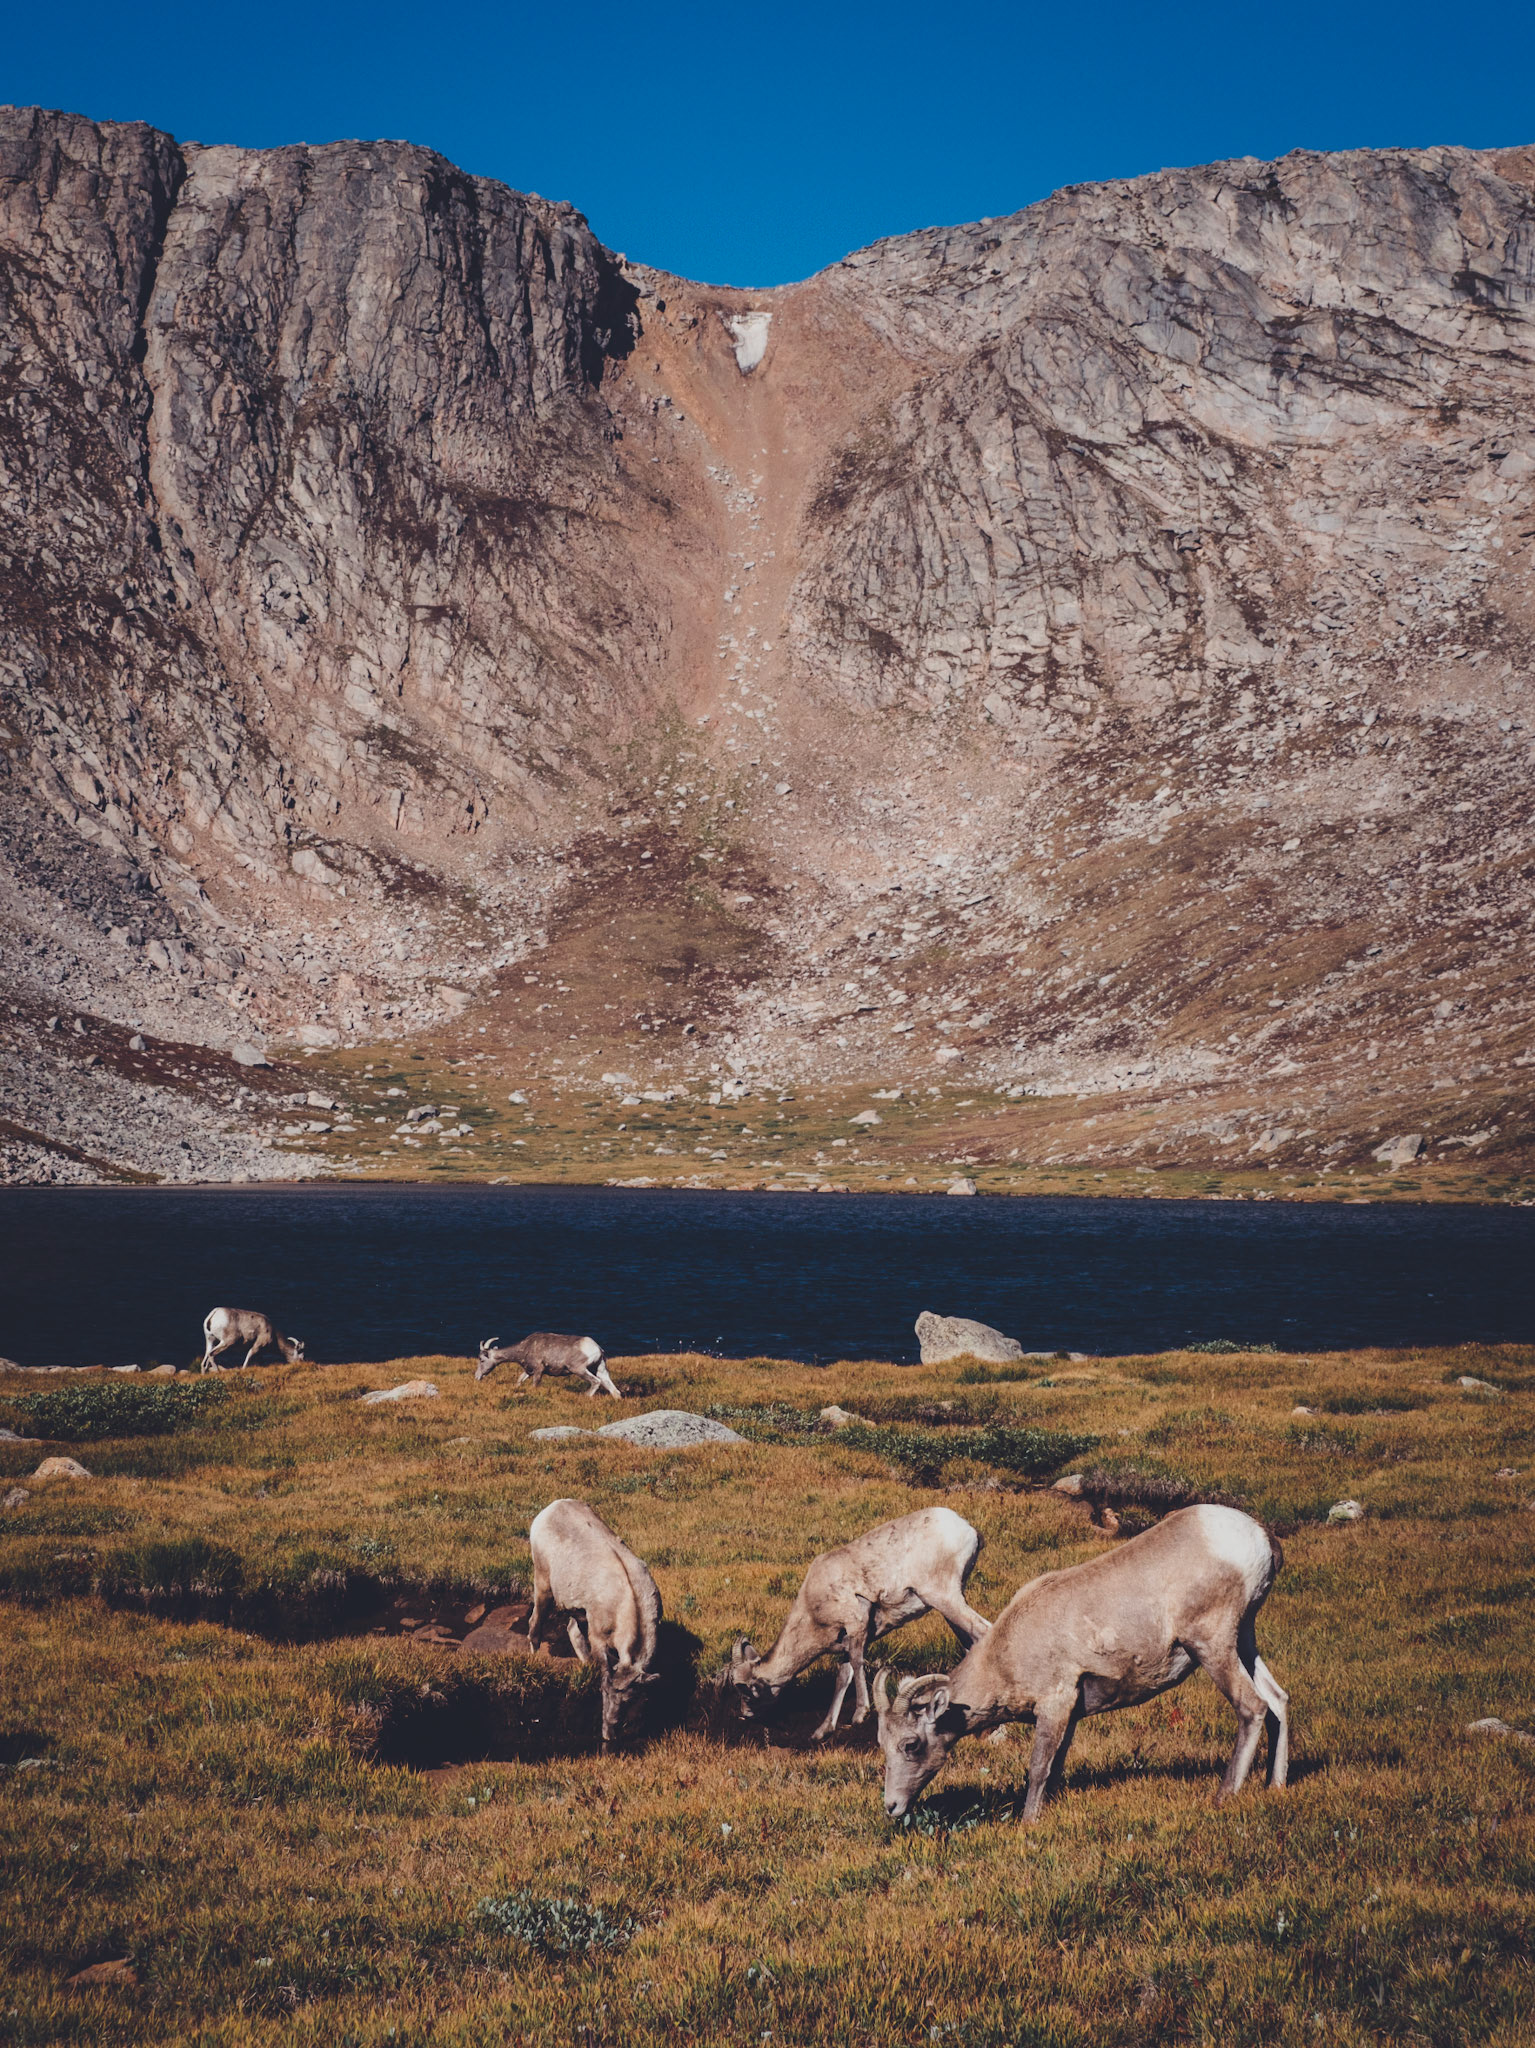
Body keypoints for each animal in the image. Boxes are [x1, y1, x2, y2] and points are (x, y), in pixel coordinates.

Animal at [475, 1331, 622, 1398]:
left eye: (481, 1360)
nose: (477, 1377)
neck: (525, 1348)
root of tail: (598, 1349)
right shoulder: (529, 1371)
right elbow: (519, 1380)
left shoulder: (538, 1371)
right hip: (601, 1370)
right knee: (614, 1390)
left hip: (579, 1370)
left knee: (596, 1382)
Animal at [528, 1498, 661, 1746]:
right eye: (605, 1693)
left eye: (630, 1699)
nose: (609, 1730)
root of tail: (549, 1509)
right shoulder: (599, 1637)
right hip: (542, 1581)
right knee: (535, 1623)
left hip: (578, 1609)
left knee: (571, 1629)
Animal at [727, 1506, 991, 1741]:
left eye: (747, 1694)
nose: (745, 1715)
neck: (812, 1611)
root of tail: (968, 1529)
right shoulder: (847, 1640)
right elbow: (843, 1677)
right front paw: (822, 1732)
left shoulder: (856, 1625)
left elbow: (857, 1664)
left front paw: (859, 1715)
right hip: (951, 1603)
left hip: (944, 1597)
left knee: (983, 1632)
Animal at [874, 1503, 1289, 1821]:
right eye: (883, 1742)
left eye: (911, 1744)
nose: (892, 1806)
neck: (1007, 1654)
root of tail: (1260, 1537)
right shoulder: (1071, 1713)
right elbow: (1056, 1767)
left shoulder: (1054, 1704)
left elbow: (1039, 1767)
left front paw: (1028, 1822)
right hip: (1244, 1637)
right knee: (1278, 1700)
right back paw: (1276, 1785)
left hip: (1211, 1643)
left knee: (1252, 1706)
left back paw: (1223, 1796)